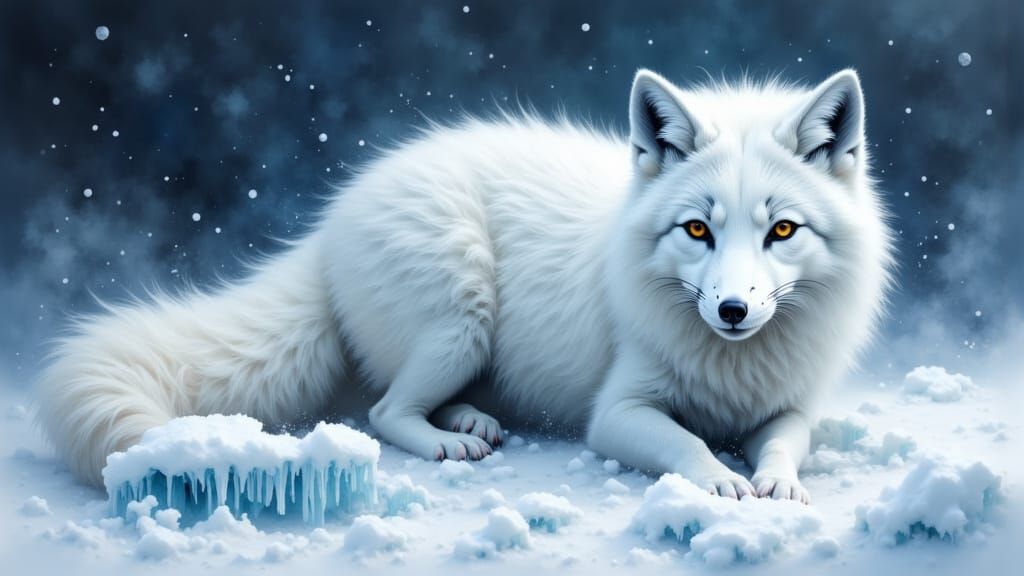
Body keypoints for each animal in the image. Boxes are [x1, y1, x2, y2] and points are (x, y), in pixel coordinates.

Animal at [36, 68, 892, 503]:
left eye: (782, 231)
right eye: (697, 231)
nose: (734, 309)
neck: (733, 370)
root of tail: (330, 223)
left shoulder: (791, 406)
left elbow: (785, 442)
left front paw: (774, 481)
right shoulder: (616, 414)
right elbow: (682, 441)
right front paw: (720, 480)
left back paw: (473, 421)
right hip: (461, 315)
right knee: (384, 412)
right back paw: (449, 440)